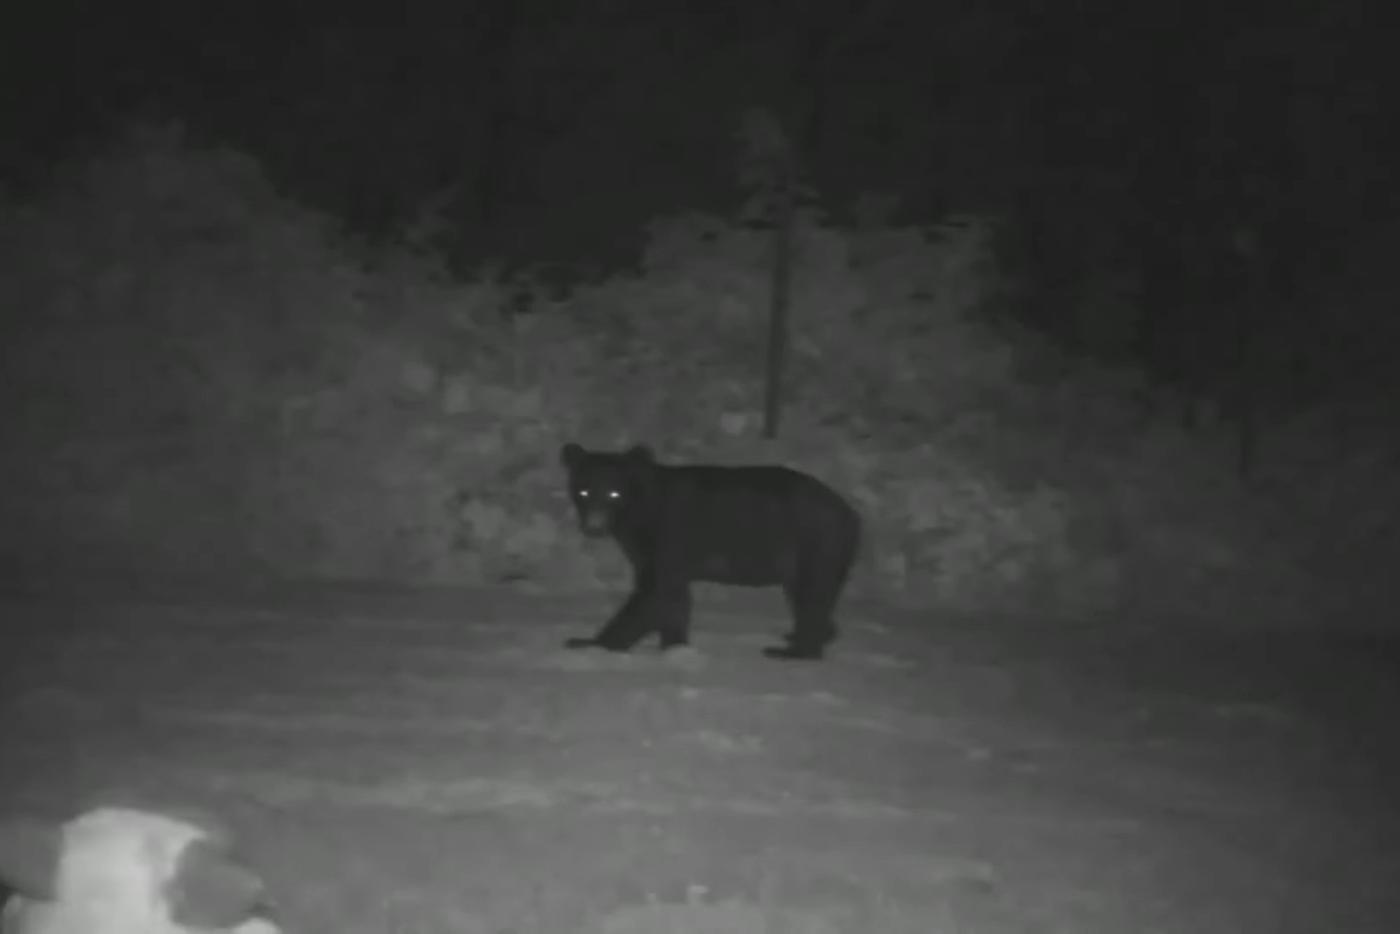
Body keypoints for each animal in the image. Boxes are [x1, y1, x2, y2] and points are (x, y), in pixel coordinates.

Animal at [559, 443, 861, 660]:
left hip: (816, 544)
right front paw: (675, 646)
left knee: (812, 597)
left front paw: (591, 643)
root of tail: (850, 513)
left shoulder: (668, 535)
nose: (594, 526)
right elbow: (674, 597)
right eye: (583, 491)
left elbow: (653, 592)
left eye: (614, 493)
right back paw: (802, 636)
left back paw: (790, 651)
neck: (640, 511)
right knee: (808, 598)